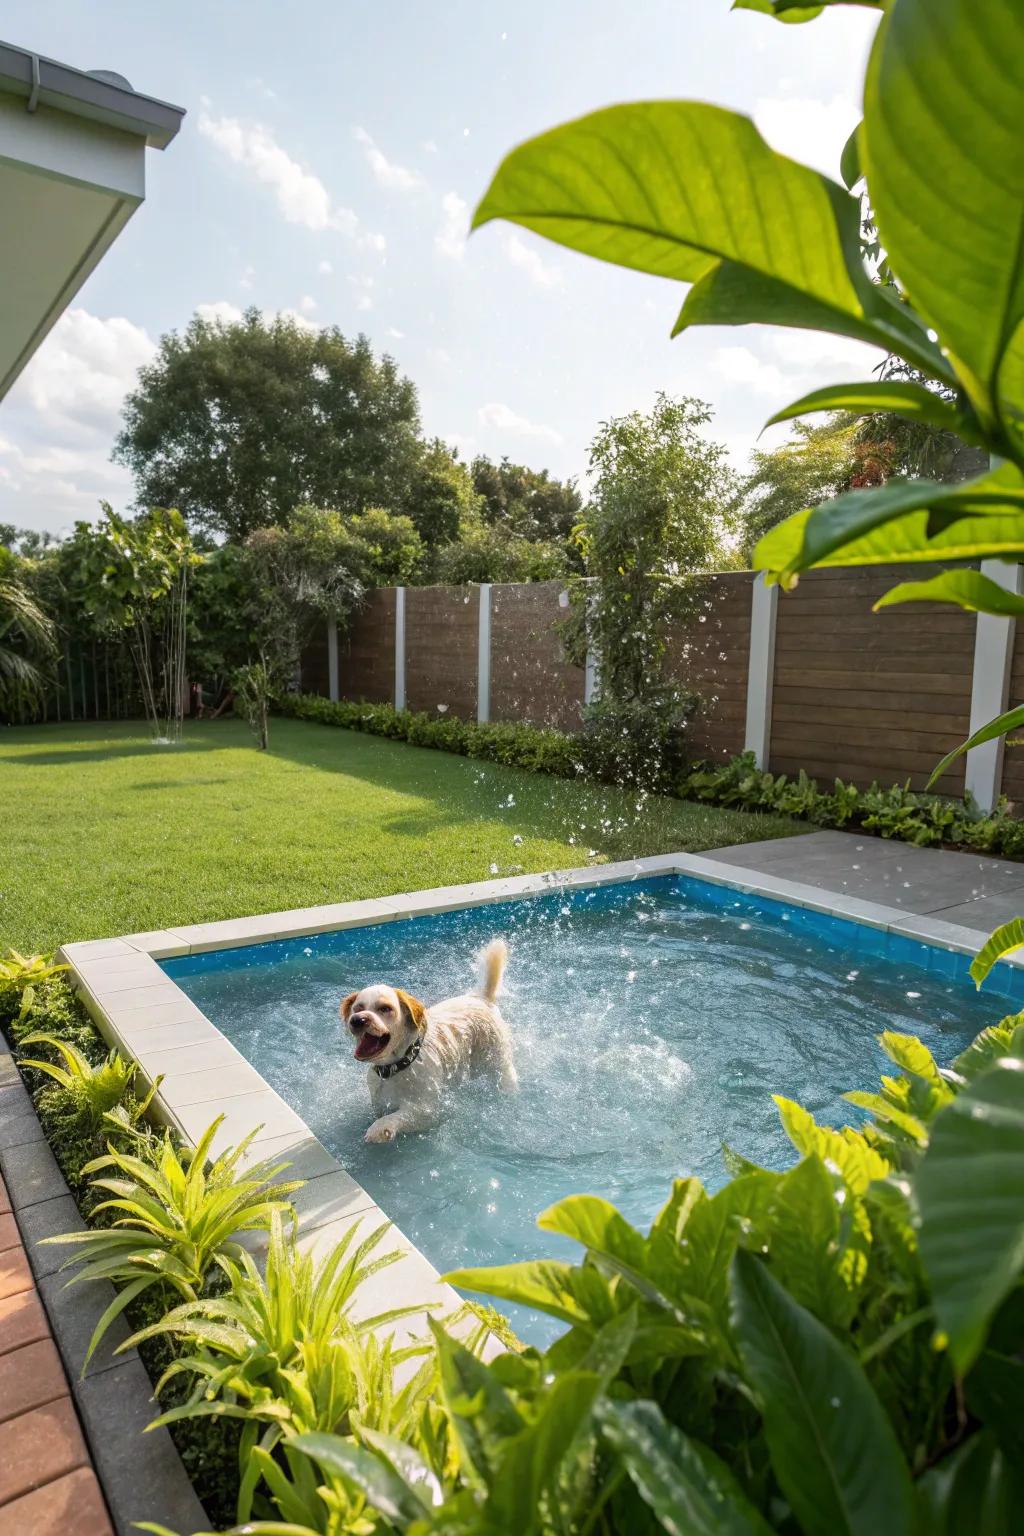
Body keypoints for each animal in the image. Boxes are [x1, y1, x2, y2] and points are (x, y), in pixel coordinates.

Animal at [342, 933, 521, 1142]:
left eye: (385, 1008)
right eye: (358, 1008)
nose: (357, 1020)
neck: (399, 1066)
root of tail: (481, 998)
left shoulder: (428, 1111)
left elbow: (399, 1116)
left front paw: (379, 1129)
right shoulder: (379, 1102)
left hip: (499, 1065)